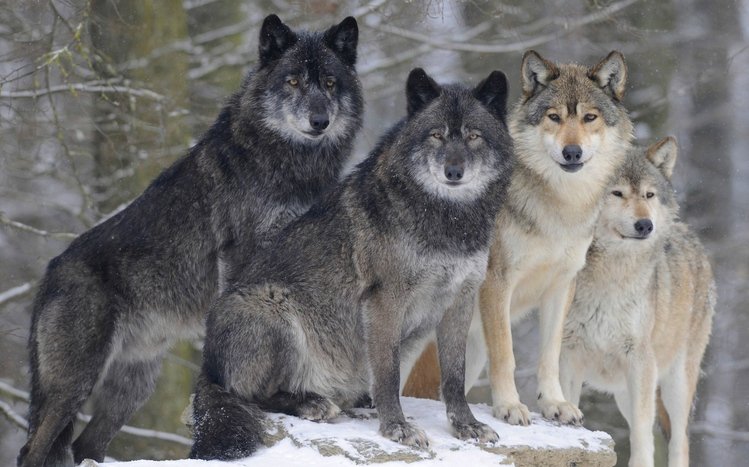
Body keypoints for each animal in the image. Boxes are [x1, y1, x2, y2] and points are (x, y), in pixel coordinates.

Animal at [18, 14, 363, 467]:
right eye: (292, 82)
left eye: (329, 82)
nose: (319, 120)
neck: (290, 163)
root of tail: (49, 274)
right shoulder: (240, 255)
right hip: (74, 384)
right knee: (34, 449)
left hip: (133, 389)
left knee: (83, 448)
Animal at [188, 67, 514, 461]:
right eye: (436, 134)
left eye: (473, 136)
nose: (454, 171)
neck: (448, 221)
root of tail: (207, 368)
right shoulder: (384, 300)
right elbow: (387, 374)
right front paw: (397, 427)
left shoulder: (460, 301)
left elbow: (454, 375)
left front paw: (466, 425)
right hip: (272, 305)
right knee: (250, 396)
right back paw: (312, 403)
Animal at [404, 50, 634, 426]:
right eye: (554, 117)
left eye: (589, 117)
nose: (572, 152)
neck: (559, 206)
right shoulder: (496, 282)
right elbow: (506, 354)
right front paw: (509, 406)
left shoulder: (562, 285)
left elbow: (549, 355)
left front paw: (555, 403)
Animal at [560, 138, 715, 467]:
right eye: (617, 193)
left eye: (649, 194)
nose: (645, 225)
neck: (610, 278)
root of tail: (691, 235)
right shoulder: (568, 355)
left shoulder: (640, 360)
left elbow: (643, 437)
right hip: (625, 392)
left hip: (674, 384)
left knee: (679, 443)